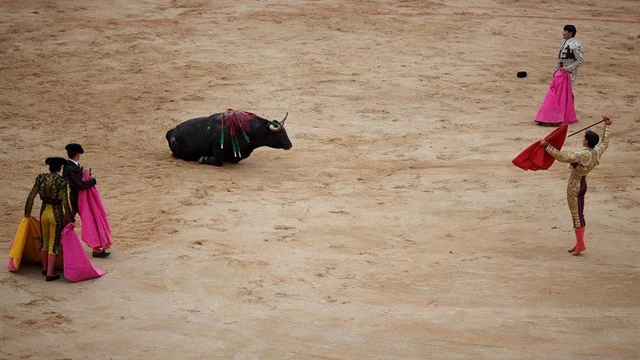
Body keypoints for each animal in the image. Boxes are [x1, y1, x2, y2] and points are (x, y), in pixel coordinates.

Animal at [166, 109, 294, 167]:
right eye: (281, 133)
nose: (290, 145)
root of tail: (171, 132)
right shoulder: (217, 146)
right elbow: (219, 162)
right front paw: (203, 158)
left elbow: (235, 159)